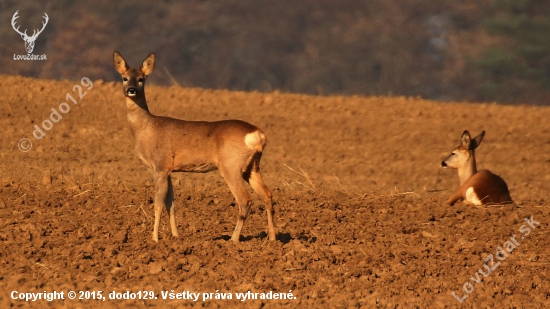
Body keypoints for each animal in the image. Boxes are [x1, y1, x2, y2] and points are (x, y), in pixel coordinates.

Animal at [112, 51, 276, 242]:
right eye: (124, 78)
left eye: (141, 79)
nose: (131, 90)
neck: (146, 128)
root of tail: (258, 134)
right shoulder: (169, 170)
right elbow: (171, 204)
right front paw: (176, 236)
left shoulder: (160, 166)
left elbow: (158, 204)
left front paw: (155, 239)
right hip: (252, 166)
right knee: (267, 195)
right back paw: (272, 238)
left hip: (231, 165)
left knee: (245, 200)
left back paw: (233, 240)